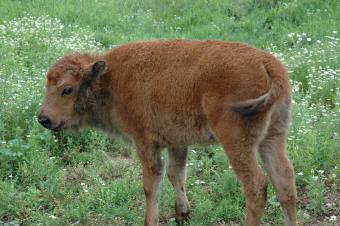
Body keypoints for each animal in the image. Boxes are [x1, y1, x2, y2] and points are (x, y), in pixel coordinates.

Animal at [38, 40, 296, 226]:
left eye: (67, 89)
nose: (44, 119)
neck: (110, 79)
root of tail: (268, 64)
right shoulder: (177, 142)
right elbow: (176, 174)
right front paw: (182, 214)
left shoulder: (145, 142)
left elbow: (151, 184)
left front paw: (151, 220)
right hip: (273, 138)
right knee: (284, 181)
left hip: (237, 144)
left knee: (256, 186)